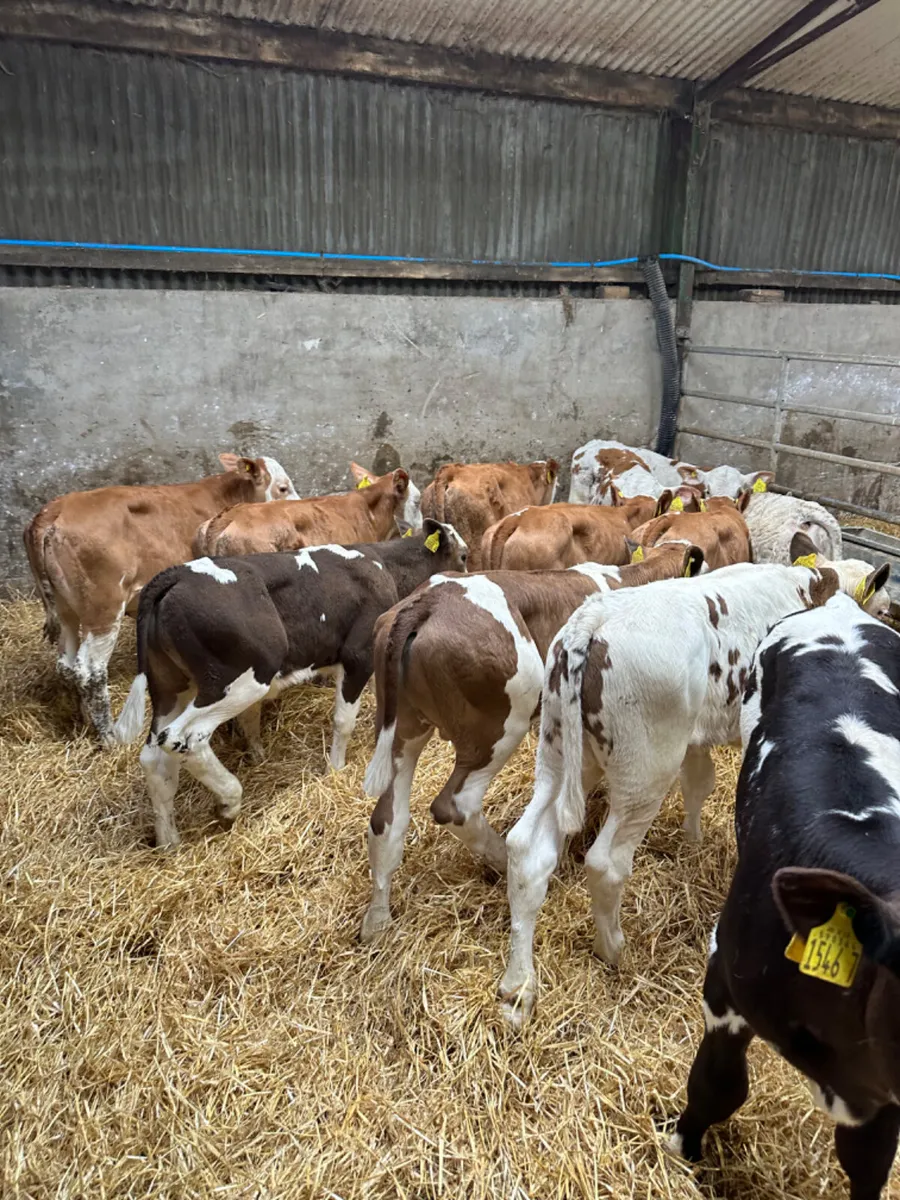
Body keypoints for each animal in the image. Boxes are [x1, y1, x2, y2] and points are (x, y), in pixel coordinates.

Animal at [23, 453, 298, 747]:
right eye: (283, 488)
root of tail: (52, 511)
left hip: (67, 611)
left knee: (67, 665)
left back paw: (85, 723)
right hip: (103, 609)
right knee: (89, 670)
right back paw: (109, 737)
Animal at [113, 520, 467, 848]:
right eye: (463, 555)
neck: (384, 564)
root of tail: (175, 574)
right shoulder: (358, 655)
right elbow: (343, 720)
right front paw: (336, 769)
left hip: (170, 687)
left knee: (154, 756)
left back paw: (168, 840)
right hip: (237, 679)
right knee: (183, 738)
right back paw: (230, 800)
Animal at [359, 541, 706, 943]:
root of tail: (429, 600)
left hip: (403, 728)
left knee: (387, 819)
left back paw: (376, 922)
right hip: (497, 727)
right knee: (456, 805)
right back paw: (503, 861)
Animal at [497, 534, 891, 1027]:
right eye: (886, 609)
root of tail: (595, 617)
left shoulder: (697, 737)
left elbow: (699, 783)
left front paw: (693, 841)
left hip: (558, 753)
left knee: (527, 850)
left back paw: (517, 991)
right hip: (646, 767)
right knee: (606, 863)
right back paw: (614, 950)